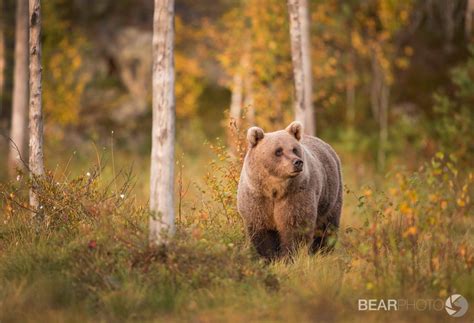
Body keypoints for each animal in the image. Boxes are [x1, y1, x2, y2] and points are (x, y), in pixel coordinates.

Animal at [239, 121, 342, 260]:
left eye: (294, 149)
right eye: (278, 151)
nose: (297, 162)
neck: (274, 189)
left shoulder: (296, 194)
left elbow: (294, 227)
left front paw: (288, 257)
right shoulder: (257, 197)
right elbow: (262, 230)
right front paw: (269, 257)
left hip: (331, 196)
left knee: (327, 227)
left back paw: (322, 251)